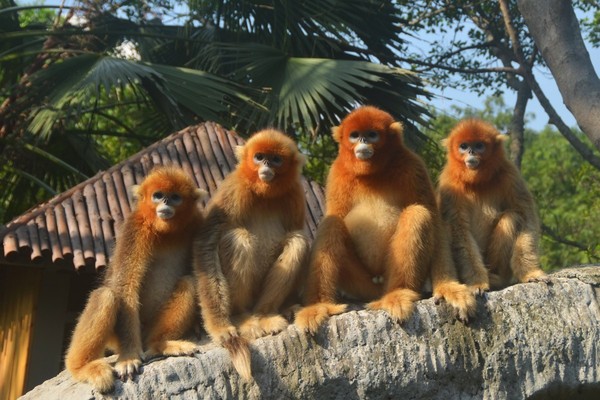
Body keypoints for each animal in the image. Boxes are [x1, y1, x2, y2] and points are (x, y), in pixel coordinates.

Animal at [64, 165, 207, 390]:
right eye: (158, 195)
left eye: (175, 197)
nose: (166, 203)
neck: (167, 232)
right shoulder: (135, 226)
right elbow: (125, 286)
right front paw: (129, 357)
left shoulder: (198, 222)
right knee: (106, 295)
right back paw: (82, 367)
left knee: (189, 282)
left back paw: (160, 344)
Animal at [195, 128, 310, 382]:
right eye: (259, 157)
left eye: (275, 159)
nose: (265, 165)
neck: (264, 195)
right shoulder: (234, 188)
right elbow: (206, 245)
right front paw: (221, 329)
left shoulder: (295, 194)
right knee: (238, 238)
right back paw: (243, 317)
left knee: (297, 241)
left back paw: (266, 314)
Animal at [292, 106, 476, 334]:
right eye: (355, 135)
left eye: (372, 134)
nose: (363, 141)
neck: (373, 173)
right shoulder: (338, 171)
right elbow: (335, 216)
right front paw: (316, 306)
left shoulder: (412, 165)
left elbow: (434, 220)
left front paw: (448, 287)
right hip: (362, 285)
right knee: (332, 224)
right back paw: (321, 305)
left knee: (417, 213)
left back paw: (397, 293)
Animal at [436, 117, 548, 292]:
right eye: (464, 146)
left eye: (479, 146)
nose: (471, 152)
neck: (477, 183)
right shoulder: (449, 183)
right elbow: (459, 231)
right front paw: (477, 282)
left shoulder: (509, 173)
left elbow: (526, 217)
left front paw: (530, 273)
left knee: (511, 217)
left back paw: (495, 278)